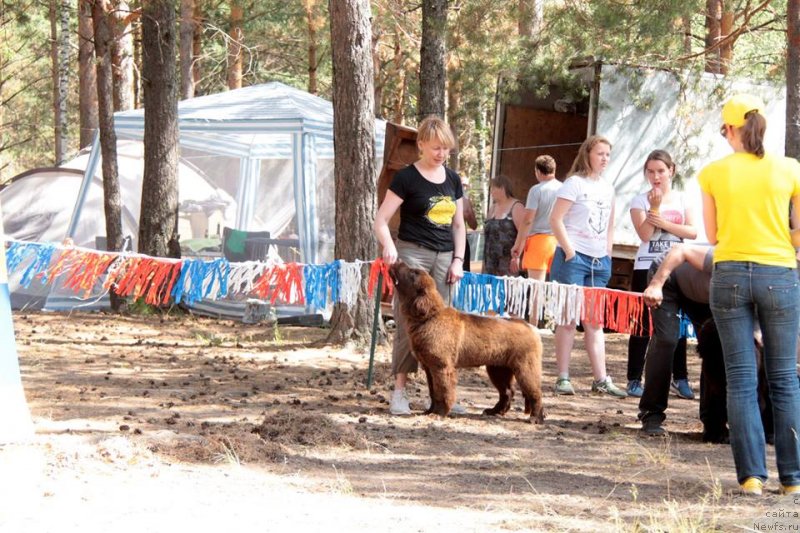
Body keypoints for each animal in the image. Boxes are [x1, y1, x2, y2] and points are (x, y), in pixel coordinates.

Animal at [388, 260, 544, 422]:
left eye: (413, 273)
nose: (397, 261)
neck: (429, 317)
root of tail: (530, 327)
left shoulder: (441, 367)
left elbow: (442, 391)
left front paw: (439, 413)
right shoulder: (429, 366)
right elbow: (433, 392)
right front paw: (429, 411)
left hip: (525, 367)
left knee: (535, 392)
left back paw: (535, 418)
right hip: (498, 368)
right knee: (507, 391)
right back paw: (494, 411)